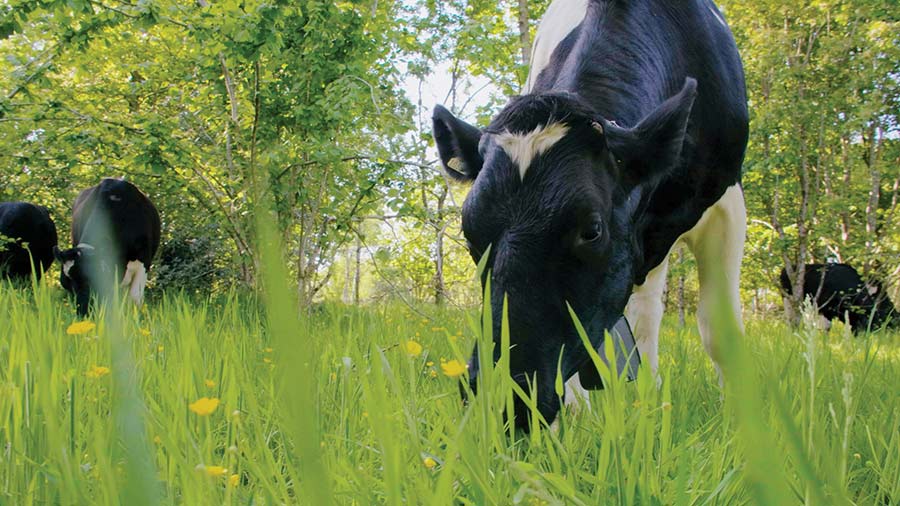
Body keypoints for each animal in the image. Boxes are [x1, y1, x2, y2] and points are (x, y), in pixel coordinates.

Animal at [432, 0, 748, 426]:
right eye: (470, 234)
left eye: (591, 230)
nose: (500, 399)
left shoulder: (725, 201)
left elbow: (719, 328)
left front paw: (741, 421)